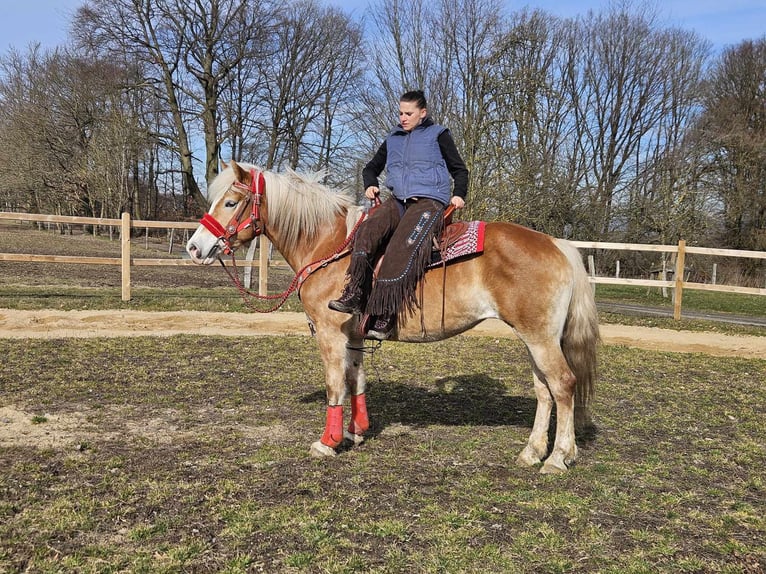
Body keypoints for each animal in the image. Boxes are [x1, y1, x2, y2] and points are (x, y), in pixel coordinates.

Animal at [184, 163, 600, 476]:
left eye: (231, 202)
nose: (194, 247)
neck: (330, 246)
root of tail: (558, 245)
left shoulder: (330, 334)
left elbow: (335, 386)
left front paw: (328, 442)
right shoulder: (353, 336)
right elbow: (357, 381)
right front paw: (356, 433)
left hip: (540, 338)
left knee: (563, 385)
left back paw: (558, 458)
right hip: (535, 338)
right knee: (544, 391)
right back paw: (533, 452)